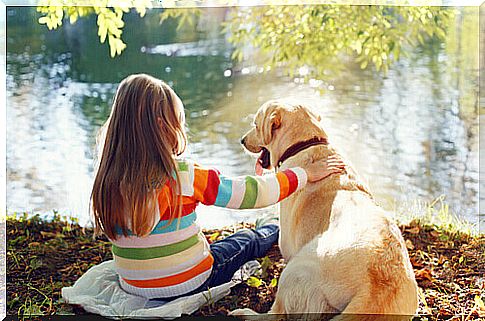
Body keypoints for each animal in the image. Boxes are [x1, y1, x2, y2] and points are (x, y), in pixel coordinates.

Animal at [233, 99, 416, 318]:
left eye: (255, 124)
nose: (242, 140)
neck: (305, 144)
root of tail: (375, 291)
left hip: (297, 267)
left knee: (276, 314)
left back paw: (244, 313)